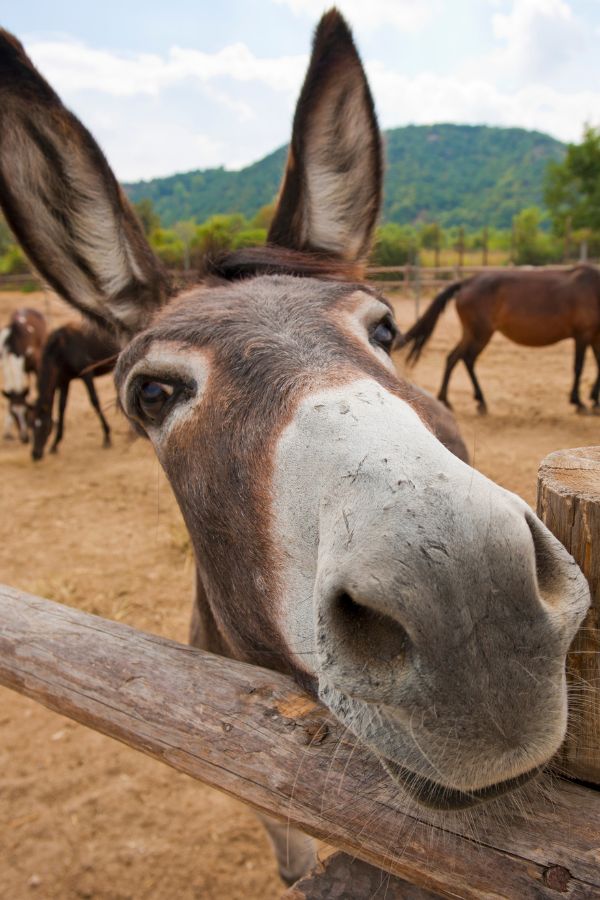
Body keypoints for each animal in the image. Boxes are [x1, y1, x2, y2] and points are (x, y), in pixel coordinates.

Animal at [400, 262, 600, 414]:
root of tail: (467, 282)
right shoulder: (583, 335)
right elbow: (579, 367)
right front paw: (579, 402)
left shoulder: (595, 336)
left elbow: (598, 365)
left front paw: (594, 400)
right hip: (480, 333)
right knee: (464, 358)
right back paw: (472, 401)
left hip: (472, 333)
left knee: (456, 357)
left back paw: (453, 399)